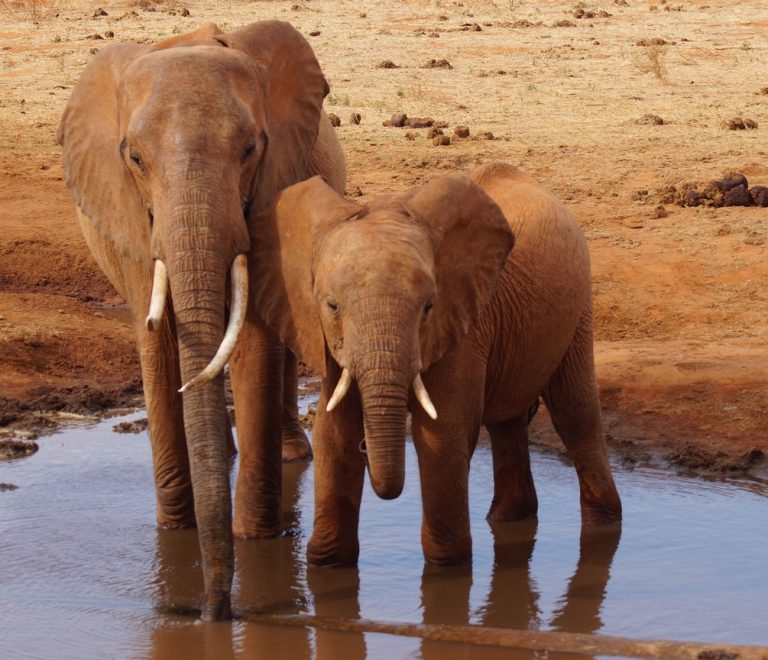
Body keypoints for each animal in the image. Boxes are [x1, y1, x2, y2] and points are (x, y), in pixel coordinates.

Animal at [57, 21, 345, 619]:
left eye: (251, 149)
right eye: (134, 158)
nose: (213, 612)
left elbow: (255, 339)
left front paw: (256, 541)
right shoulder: (132, 220)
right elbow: (158, 343)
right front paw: (174, 535)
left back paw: (290, 453)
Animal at [249, 161, 622, 566]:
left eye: (428, 307)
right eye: (332, 305)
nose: (368, 450)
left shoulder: (463, 323)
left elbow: (441, 435)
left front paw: (447, 565)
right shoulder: (325, 337)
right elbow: (334, 434)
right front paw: (328, 563)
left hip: (577, 302)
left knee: (574, 414)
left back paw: (603, 529)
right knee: (507, 422)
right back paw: (508, 518)